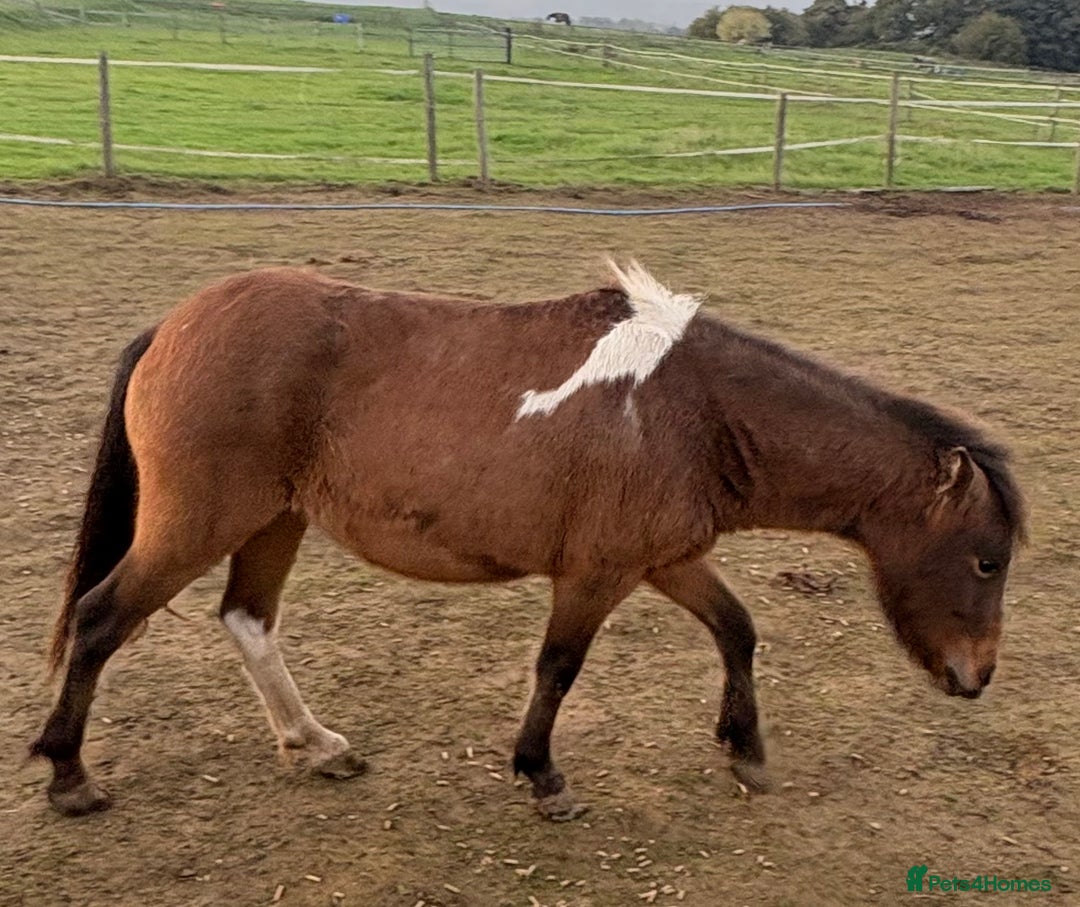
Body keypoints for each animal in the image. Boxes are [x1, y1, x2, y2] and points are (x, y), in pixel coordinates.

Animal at [31, 261, 1025, 819]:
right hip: (201, 520)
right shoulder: (597, 573)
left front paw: (745, 748)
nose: (976, 677)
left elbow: (738, 629)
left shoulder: (664, 558)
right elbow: (558, 667)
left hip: (275, 519)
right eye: (987, 558)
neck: (695, 410)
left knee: (247, 621)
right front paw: (543, 776)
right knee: (100, 619)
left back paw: (315, 744)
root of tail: (174, 325)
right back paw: (70, 775)